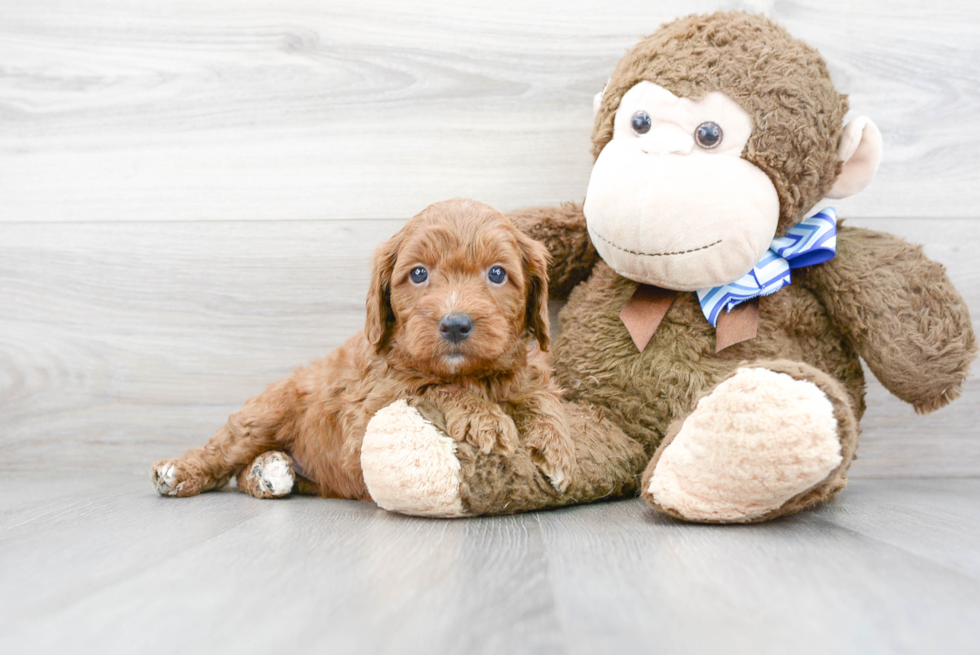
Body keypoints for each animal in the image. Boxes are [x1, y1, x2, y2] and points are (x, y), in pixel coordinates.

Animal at [147, 200, 576, 502]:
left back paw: (268, 472)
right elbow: (429, 386)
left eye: (497, 273)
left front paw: (556, 446)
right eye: (419, 273)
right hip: (268, 412)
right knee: (225, 450)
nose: (455, 324)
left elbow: (539, 396)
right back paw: (179, 471)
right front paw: (484, 417)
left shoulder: (526, 373)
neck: (470, 374)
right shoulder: (369, 412)